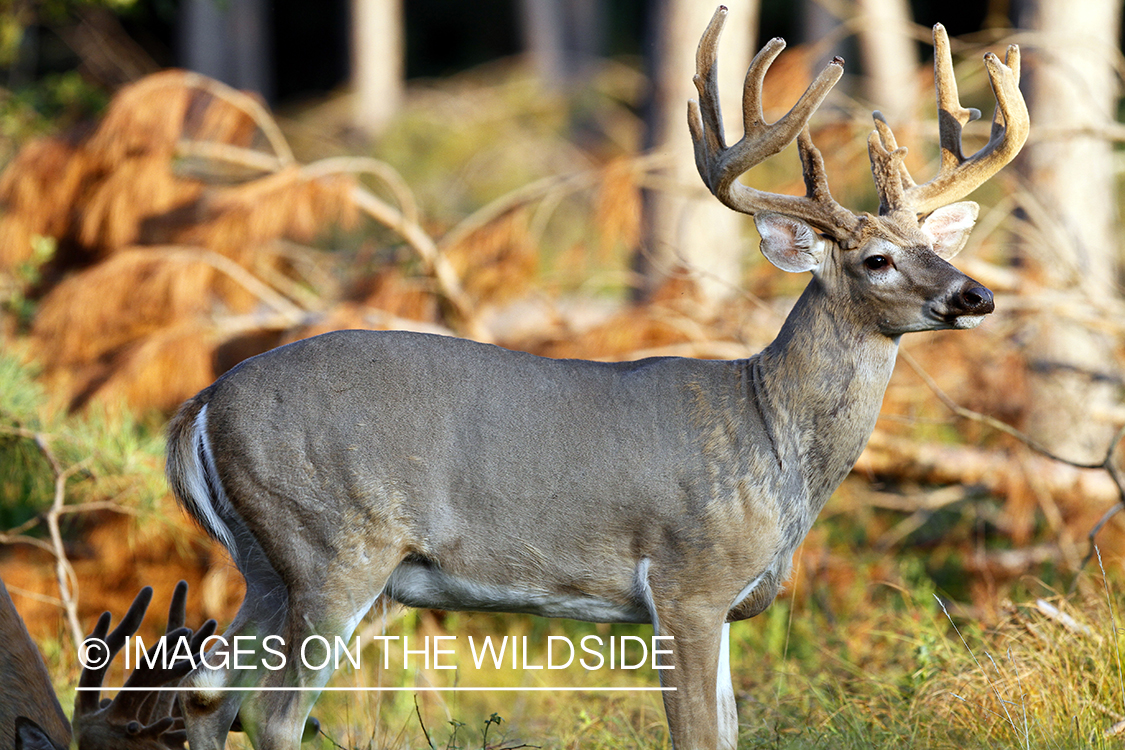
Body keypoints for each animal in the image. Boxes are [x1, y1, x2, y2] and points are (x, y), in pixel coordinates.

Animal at [164, 7, 1030, 750]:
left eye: (934, 247)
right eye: (875, 260)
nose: (975, 295)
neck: (768, 436)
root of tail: (199, 406)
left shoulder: (719, 601)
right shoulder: (686, 579)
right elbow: (697, 735)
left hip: (262, 561)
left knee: (206, 694)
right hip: (333, 544)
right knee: (271, 714)